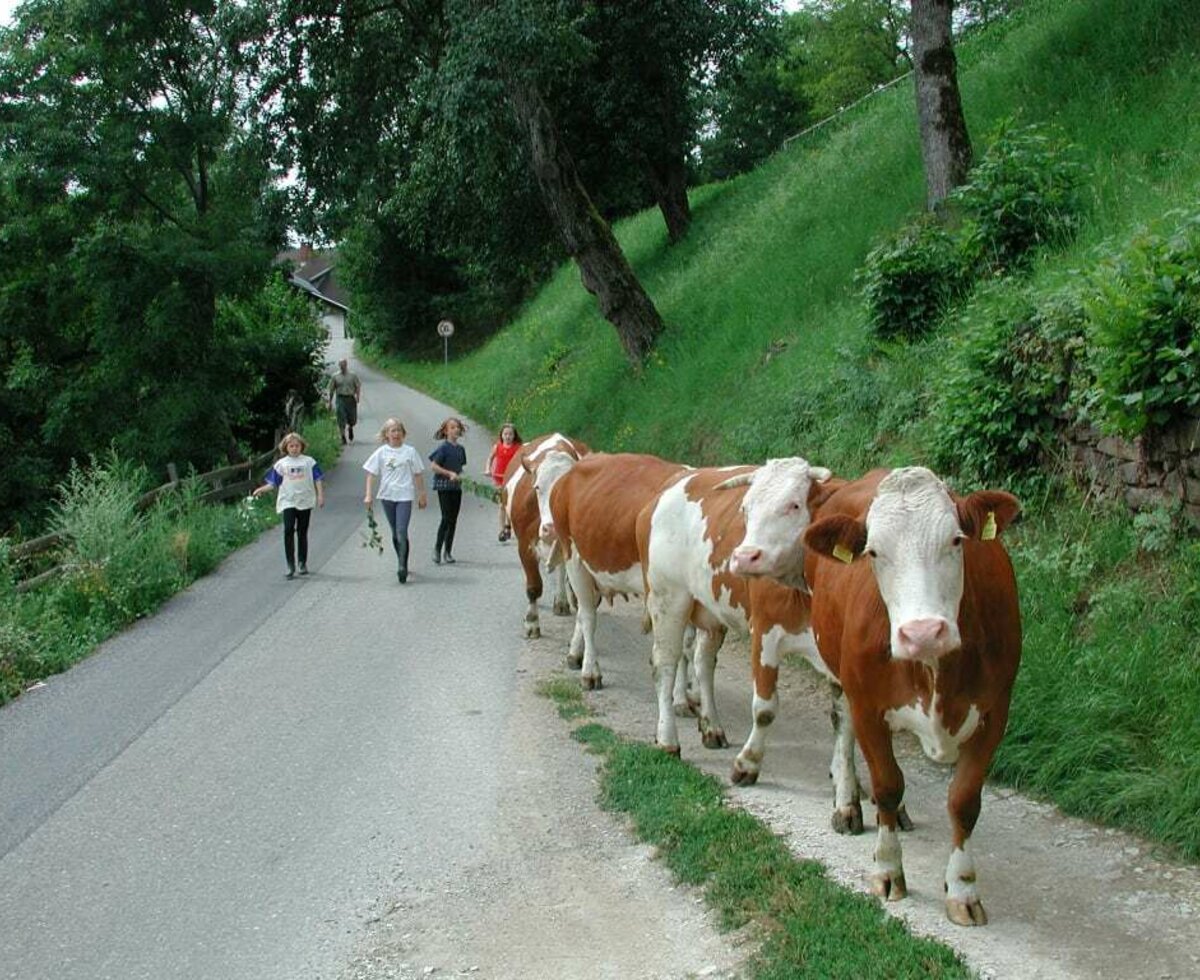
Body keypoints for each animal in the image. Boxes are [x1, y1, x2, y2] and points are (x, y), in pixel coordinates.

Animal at [499, 431, 588, 638]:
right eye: (538, 487)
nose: (552, 528)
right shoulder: (524, 544)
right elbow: (534, 587)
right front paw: (532, 622)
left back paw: (562, 600)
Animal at [530, 451, 691, 686]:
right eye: (537, 487)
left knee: (584, 610)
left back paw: (576, 654)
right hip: (575, 560)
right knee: (588, 615)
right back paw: (590, 671)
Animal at [638, 458, 835, 758]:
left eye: (795, 505)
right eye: (745, 509)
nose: (744, 557)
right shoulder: (764, 632)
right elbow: (765, 706)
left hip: (709, 612)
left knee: (703, 662)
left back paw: (712, 728)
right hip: (668, 598)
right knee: (665, 663)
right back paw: (668, 739)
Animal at [796, 465, 1022, 926]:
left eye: (956, 540)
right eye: (873, 553)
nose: (922, 633)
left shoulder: (995, 712)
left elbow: (964, 801)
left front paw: (963, 888)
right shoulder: (868, 705)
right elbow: (886, 783)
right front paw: (887, 870)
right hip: (837, 667)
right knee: (842, 725)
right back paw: (847, 801)